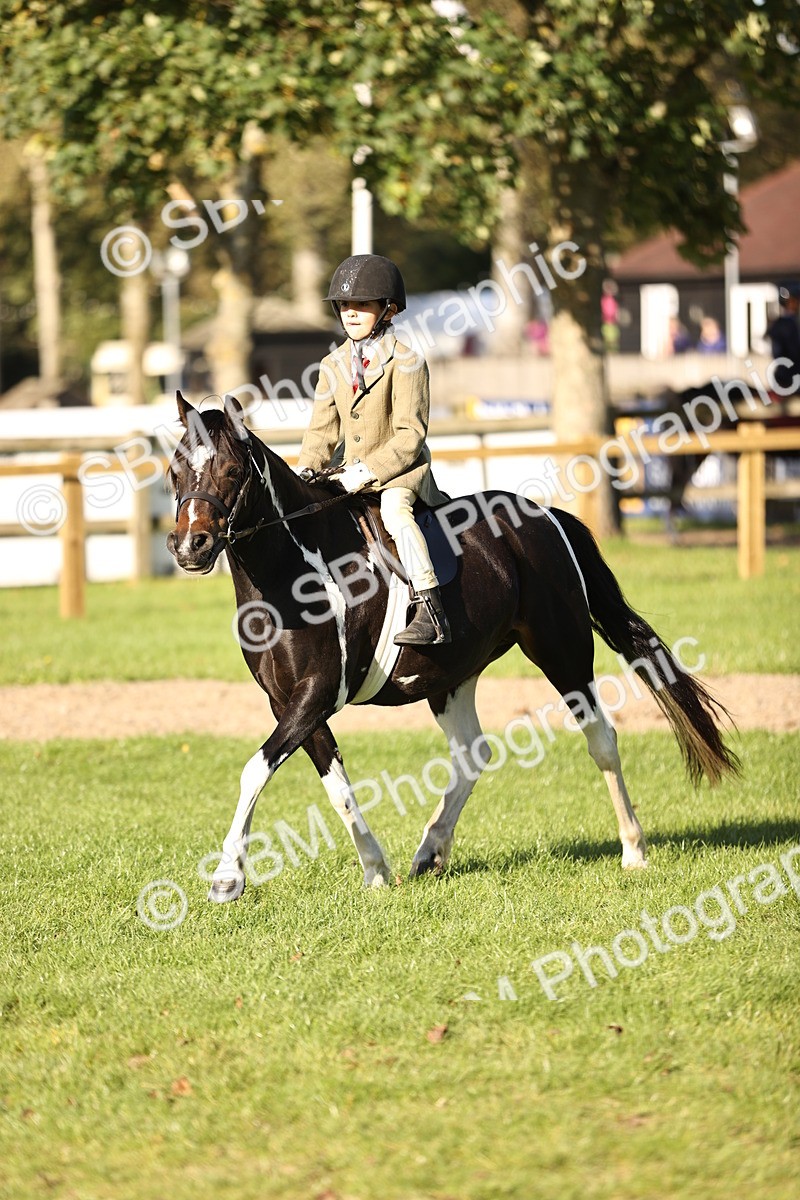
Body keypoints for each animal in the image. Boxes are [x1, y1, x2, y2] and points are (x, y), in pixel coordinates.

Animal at [166, 393, 739, 902]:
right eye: (174, 470)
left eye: (231, 471)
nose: (190, 546)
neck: (292, 571)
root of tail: (543, 514)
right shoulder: (288, 701)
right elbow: (336, 786)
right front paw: (376, 871)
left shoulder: (317, 693)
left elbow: (254, 770)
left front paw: (226, 879)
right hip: (452, 674)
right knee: (472, 753)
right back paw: (430, 851)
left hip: (563, 652)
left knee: (601, 739)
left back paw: (633, 849)